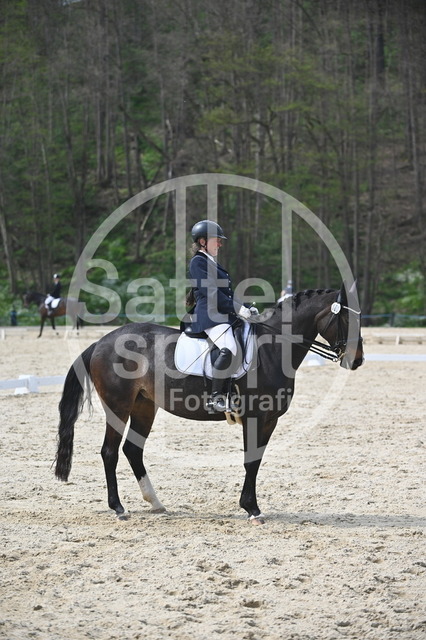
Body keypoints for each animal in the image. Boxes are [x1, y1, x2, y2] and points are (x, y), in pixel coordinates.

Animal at [54, 284, 364, 524]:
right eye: (346, 320)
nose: (357, 360)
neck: (273, 348)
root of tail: (101, 342)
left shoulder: (269, 420)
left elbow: (256, 460)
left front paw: (251, 506)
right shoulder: (255, 417)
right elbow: (251, 460)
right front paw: (252, 509)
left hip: (144, 406)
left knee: (132, 450)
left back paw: (155, 502)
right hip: (118, 406)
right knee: (110, 452)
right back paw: (119, 508)